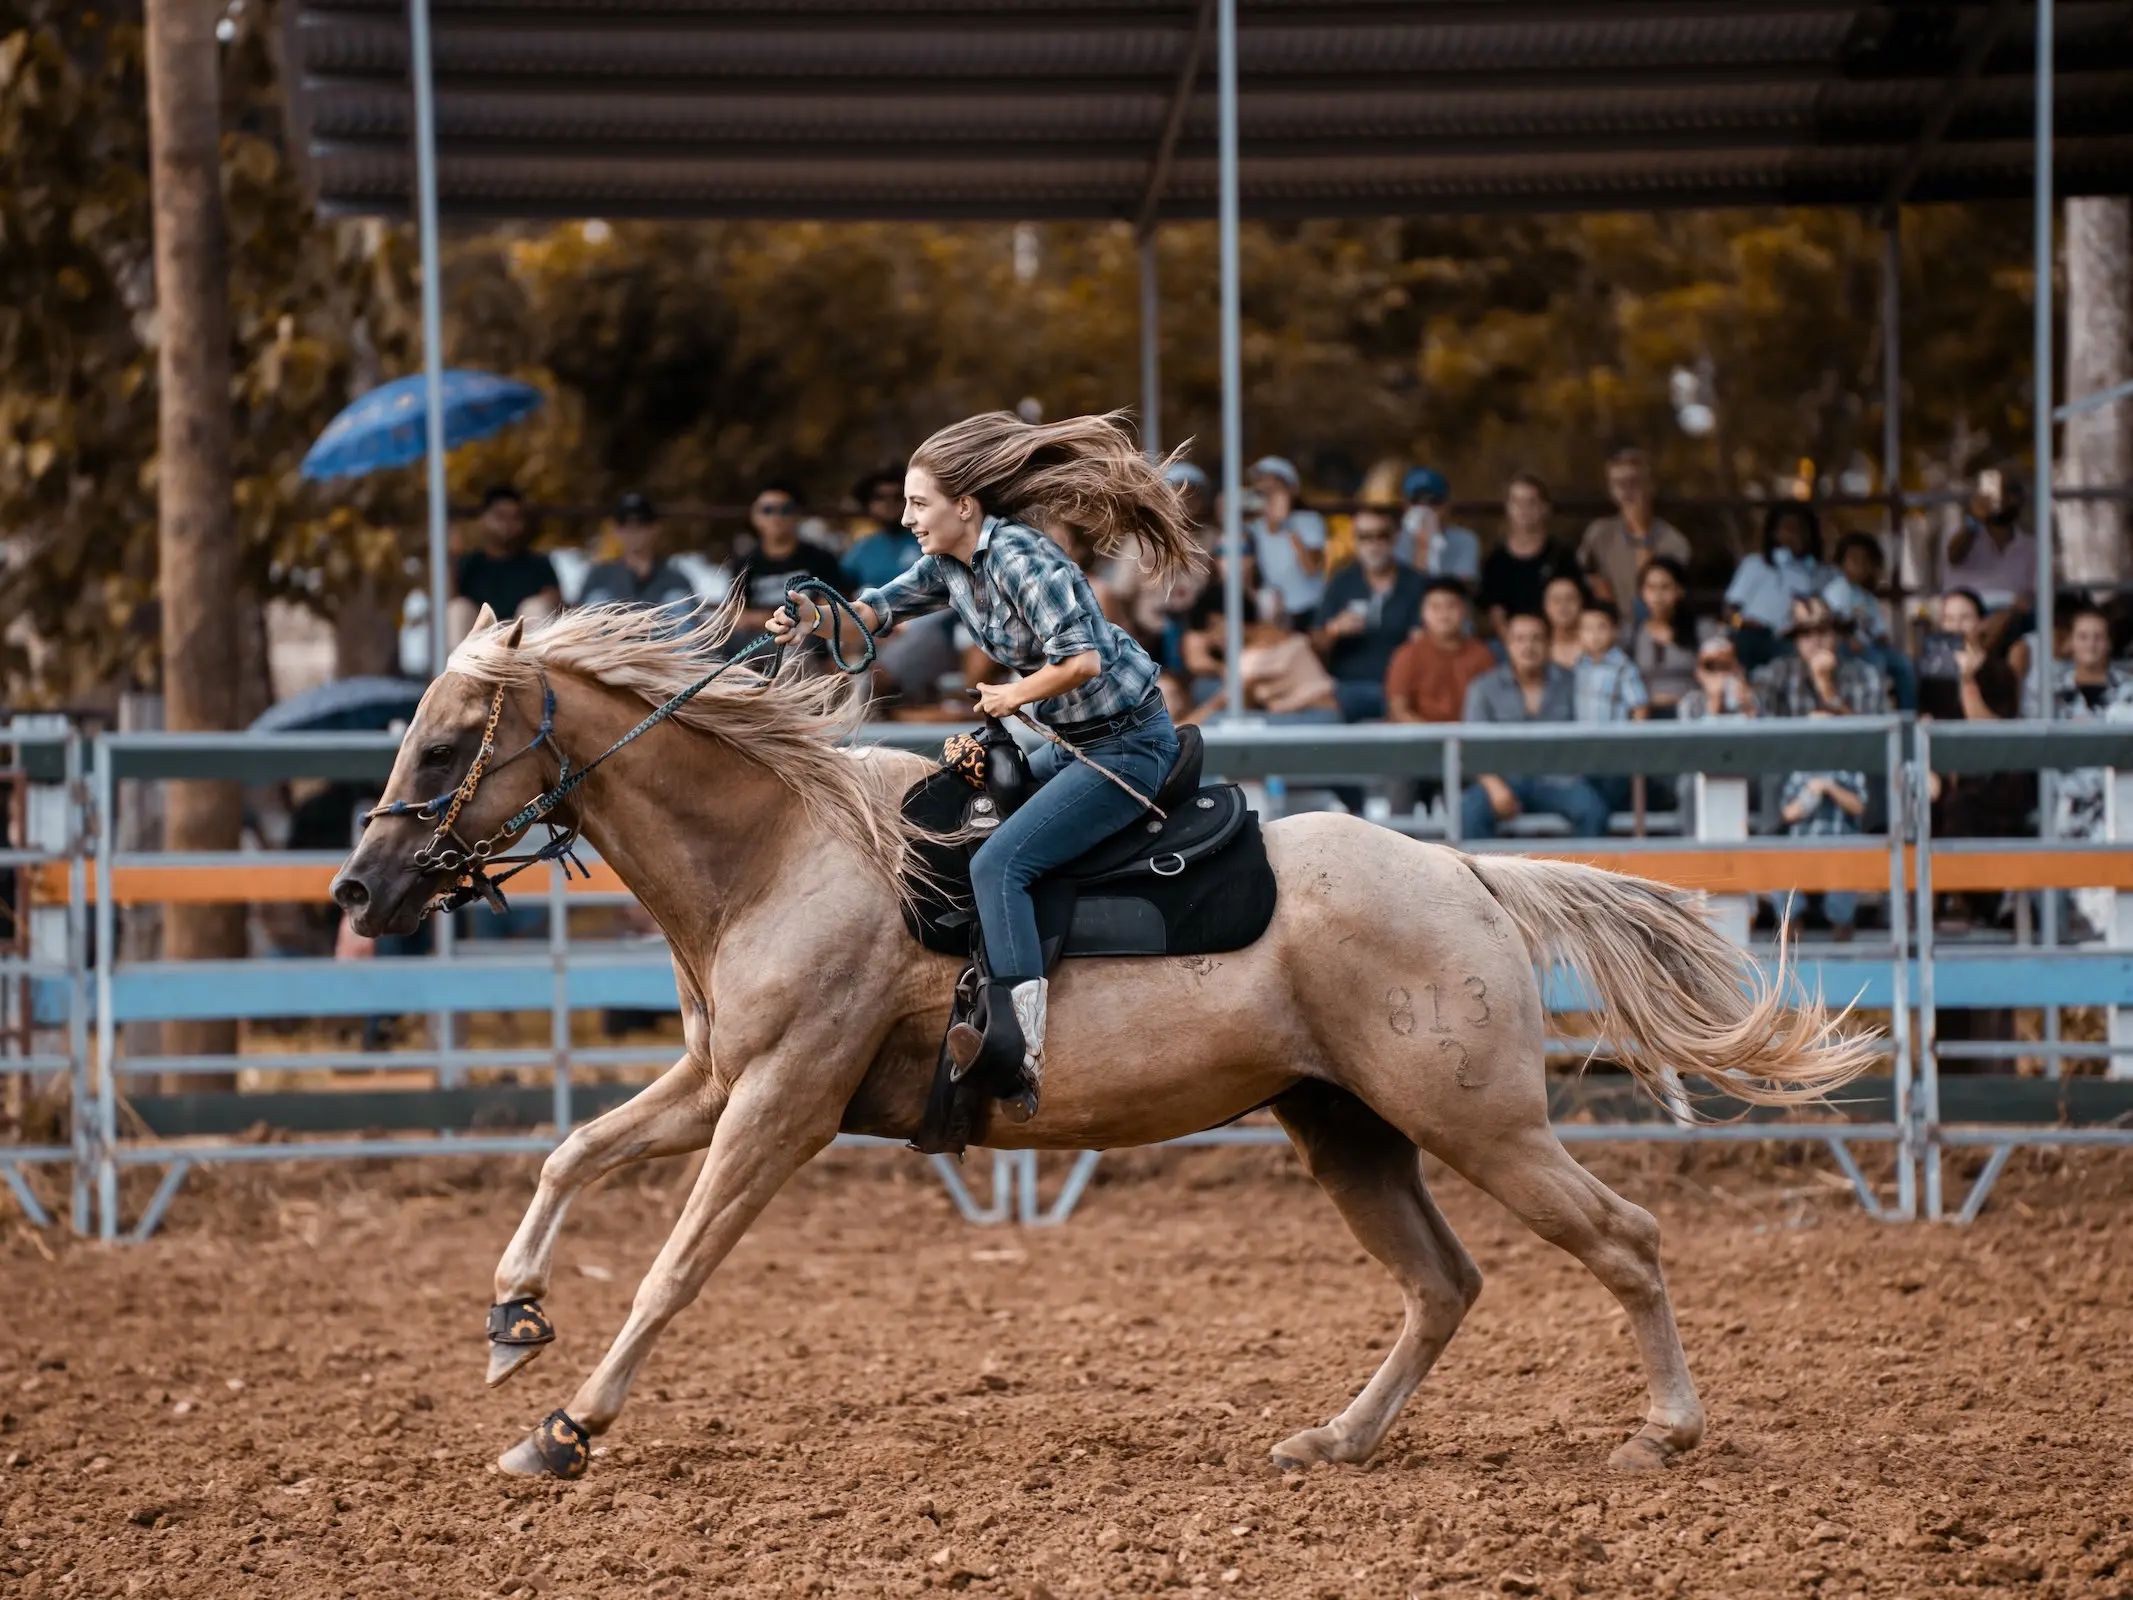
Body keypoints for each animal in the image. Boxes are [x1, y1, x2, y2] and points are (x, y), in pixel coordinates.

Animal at [328, 605, 1868, 1484]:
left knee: (1623, 1237)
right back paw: (1336, 1440)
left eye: (447, 741)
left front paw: (564, 1431)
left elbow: (670, 1269)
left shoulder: (783, 1101)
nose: (357, 890)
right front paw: (511, 1324)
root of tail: (1466, 872)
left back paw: (1664, 1433)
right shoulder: (716, 1077)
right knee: (1444, 1283)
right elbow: (569, 1156)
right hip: (1346, 1127)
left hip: (1477, 1120)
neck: (782, 850)